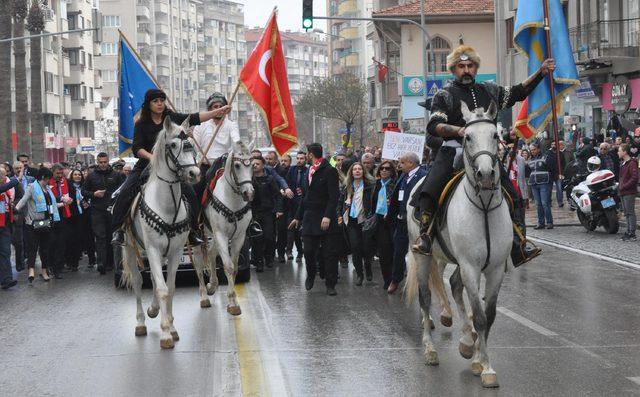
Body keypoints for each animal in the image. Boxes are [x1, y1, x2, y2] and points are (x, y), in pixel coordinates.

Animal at [119, 116, 200, 348]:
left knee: (155, 281)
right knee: (139, 281)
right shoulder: (153, 249)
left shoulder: (174, 251)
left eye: (191, 145)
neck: (167, 205)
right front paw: (165, 334)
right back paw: (140, 323)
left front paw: (171, 328)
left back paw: (154, 310)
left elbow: (169, 287)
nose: (194, 174)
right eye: (172, 145)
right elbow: (162, 288)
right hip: (131, 247)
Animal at [191, 144, 254, 314]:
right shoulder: (221, 235)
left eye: (252, 165)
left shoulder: (239, 237)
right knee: (198, 263)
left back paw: (212, 285)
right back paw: (204, 297)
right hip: (199, 238)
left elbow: (235, 267)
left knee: (212, 253)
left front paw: (233, 302)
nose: (249, 193)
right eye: (237, 165)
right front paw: (232, 303)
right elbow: (228, 266)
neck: (232, 200)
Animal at [408, 101, 512, 386]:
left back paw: (466, 341)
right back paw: (430, 349)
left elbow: (488, 316)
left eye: (496, 135)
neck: (484, 206)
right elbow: (479, 315)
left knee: (454, 286)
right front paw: (486, 368)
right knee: (425, 297)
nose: (485, 174)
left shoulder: (495, 269)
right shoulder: (470, 266)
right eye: (467, 137)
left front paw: (479, 360)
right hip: (423, 256)